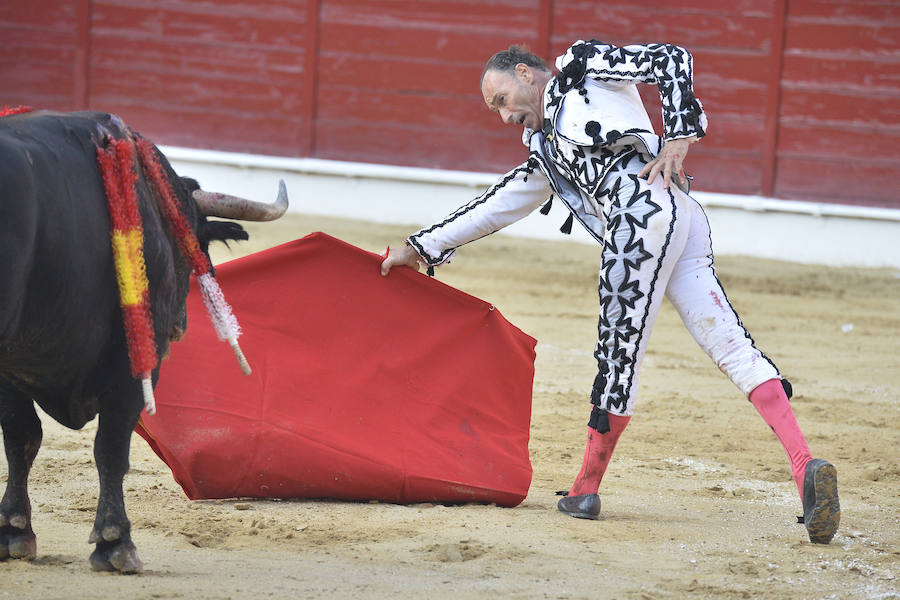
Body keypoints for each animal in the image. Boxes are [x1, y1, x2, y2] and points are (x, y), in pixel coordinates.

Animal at [0, 111, 286, 572]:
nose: (179, 324)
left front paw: (13, 532)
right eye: (197, 244)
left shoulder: (14, 366)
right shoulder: (130, 365)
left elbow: (22, 437)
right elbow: (109, 445)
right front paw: (116, 542)